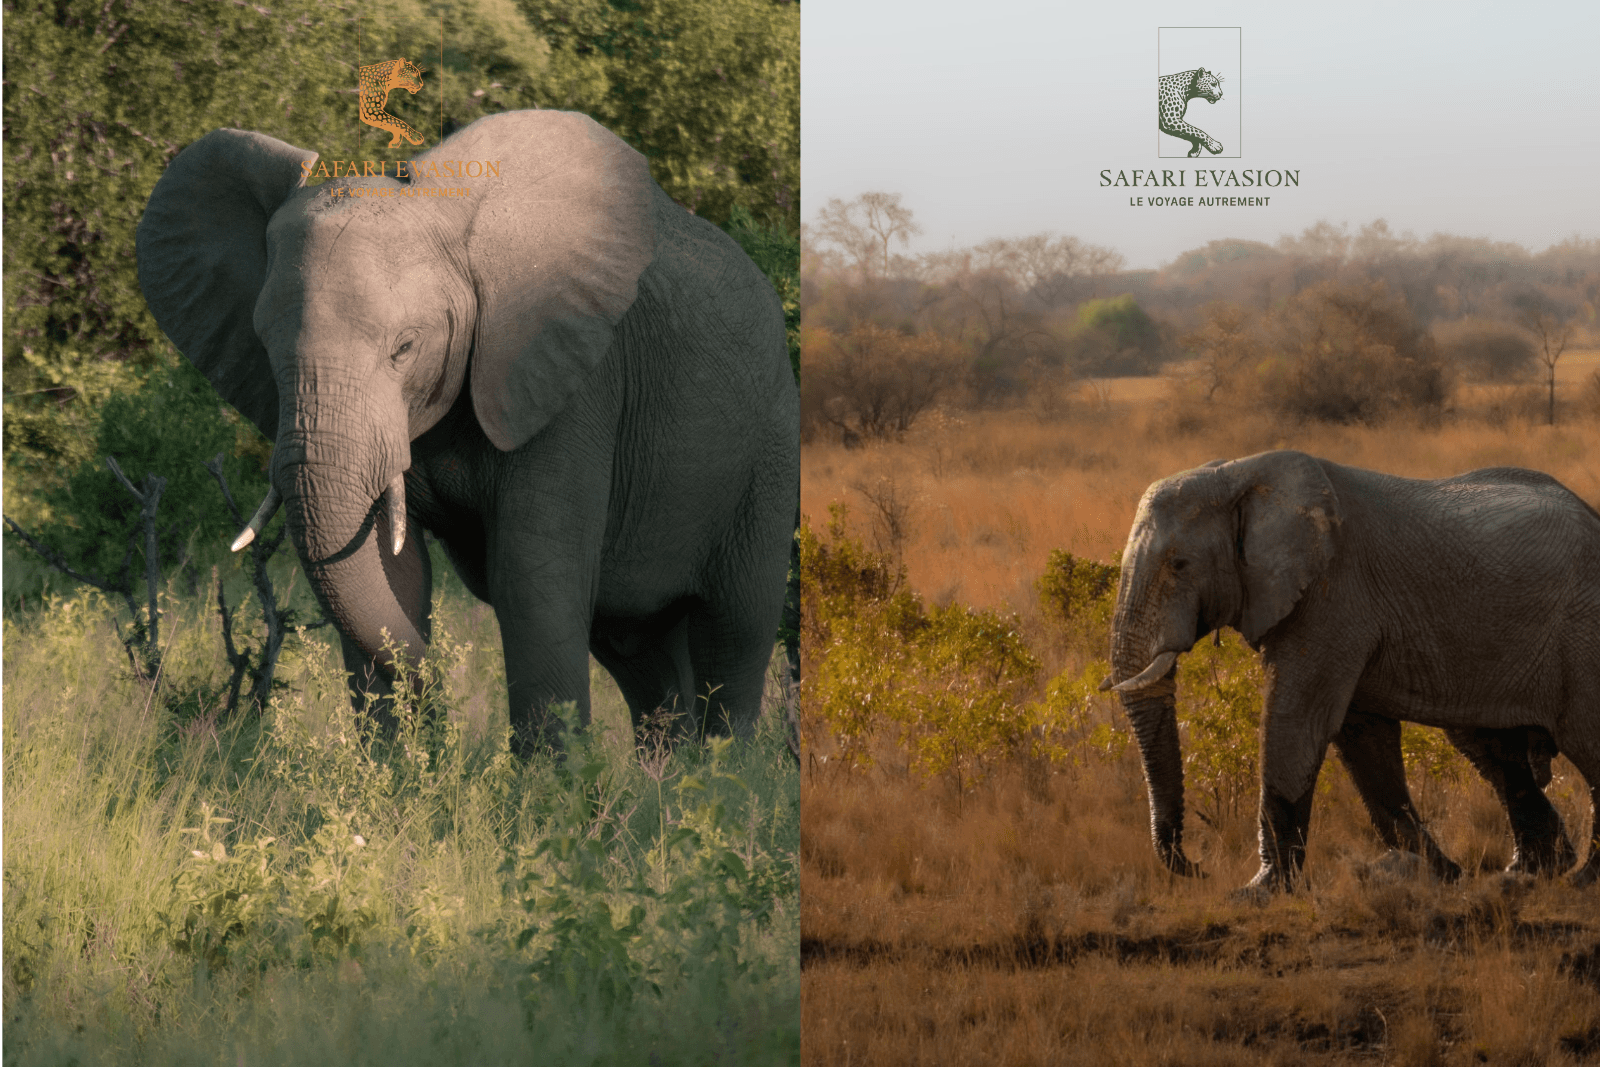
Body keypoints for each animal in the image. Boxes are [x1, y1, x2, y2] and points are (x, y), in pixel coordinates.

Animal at [136, 110, 799, 754]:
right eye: (266, 345)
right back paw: (671, 779)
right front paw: (396, 776)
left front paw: (548, 787)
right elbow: (391, 573)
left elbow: (532, 580)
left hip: (770, 448)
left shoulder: (571, 382)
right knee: (642, 656)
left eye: (405, 347)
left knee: (735, 628)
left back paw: (724, 777)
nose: (446, 697)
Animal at [1103, 451, 1600, 891]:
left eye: (1179, 565)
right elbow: (1363, 737)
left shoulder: (1333, 594)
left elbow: (1297, 723)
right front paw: (1444, 876)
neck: (1236, 474)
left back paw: (1581, 880)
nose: (1198, 868)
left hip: (1582, 630)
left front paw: (1258, 890)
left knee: (1584, 742)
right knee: (1490, 749)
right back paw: (1529, 874)